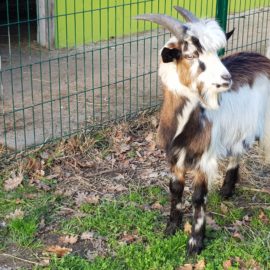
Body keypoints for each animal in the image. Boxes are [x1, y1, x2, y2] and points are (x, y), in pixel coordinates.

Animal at [136, 6, 270, 255]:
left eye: (217, 52)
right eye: (190, 55)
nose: (227, 78)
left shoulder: (205, 160)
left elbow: (198, 198)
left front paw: (195, 243)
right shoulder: (174, 157)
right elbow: (175, 190)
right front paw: (171, 228)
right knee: (237, 151)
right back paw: (227, 190)